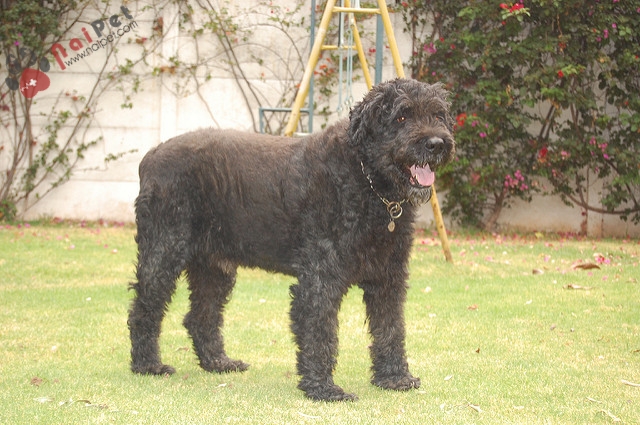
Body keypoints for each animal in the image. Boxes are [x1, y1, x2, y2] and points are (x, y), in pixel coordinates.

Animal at [127, 78, 452, 400]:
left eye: (438, 115)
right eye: (401, 117)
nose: (436, 143)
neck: (367, 181)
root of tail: (150, 157)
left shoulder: (388, 276)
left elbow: (391, 327)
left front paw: (394, 378)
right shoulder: (320, 278)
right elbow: (320, 331)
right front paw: (322, 388)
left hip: (213, 267)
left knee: (200, 316)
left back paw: (218, 362)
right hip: (163, 252)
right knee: (144, 309)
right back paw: (148, 365)